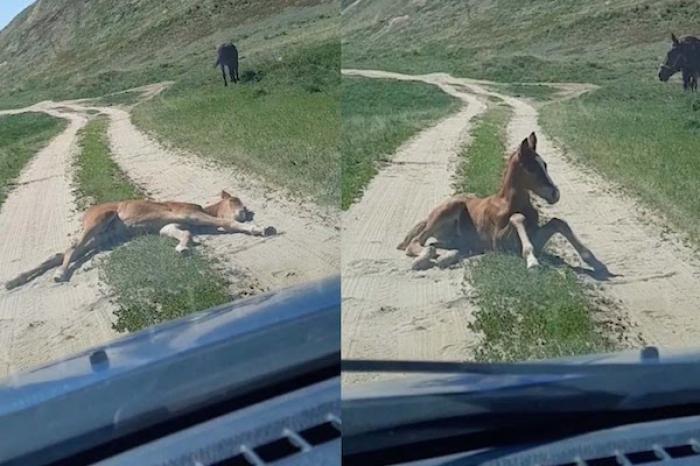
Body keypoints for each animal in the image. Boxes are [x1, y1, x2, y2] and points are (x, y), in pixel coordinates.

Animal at [4, 189, 276, 288]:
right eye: (235, 200)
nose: (246, 212)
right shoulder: (189, 214)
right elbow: (224, 223)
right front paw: (262, 228)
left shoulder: (169, 226)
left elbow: (184, 233)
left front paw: (182, 249)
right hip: (98, 222)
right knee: (71, 250)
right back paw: (59, 274)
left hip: (98, 240)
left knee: (61, 253)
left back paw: (13, 280)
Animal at [396, 131, 608, 274]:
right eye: (532, 168)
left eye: (545, 165)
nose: (555, 194)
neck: (510, 203)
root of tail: (429, 215)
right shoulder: (499, 242)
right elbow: (518, 218)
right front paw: (532, 261)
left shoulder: (537, 237)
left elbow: (558, 223)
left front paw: (592, 260)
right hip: (448, 210)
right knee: (417, 243)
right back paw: (426, 258)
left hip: (450, 237)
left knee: (441, 244)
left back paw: (448, 256)